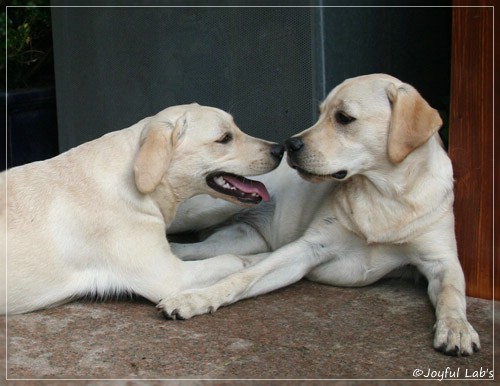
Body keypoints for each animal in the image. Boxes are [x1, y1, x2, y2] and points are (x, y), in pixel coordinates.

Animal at [162, 74, 478, 356]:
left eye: (344, 118)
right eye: (320, 113)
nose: (288, 145)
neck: (383, 195)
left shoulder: (441, 260)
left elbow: (452, 294)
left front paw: (457, 328)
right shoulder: (308, 248)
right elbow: (241, 279)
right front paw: (196, 298)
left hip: (241, 238)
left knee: (191, 249)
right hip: (205, 210)